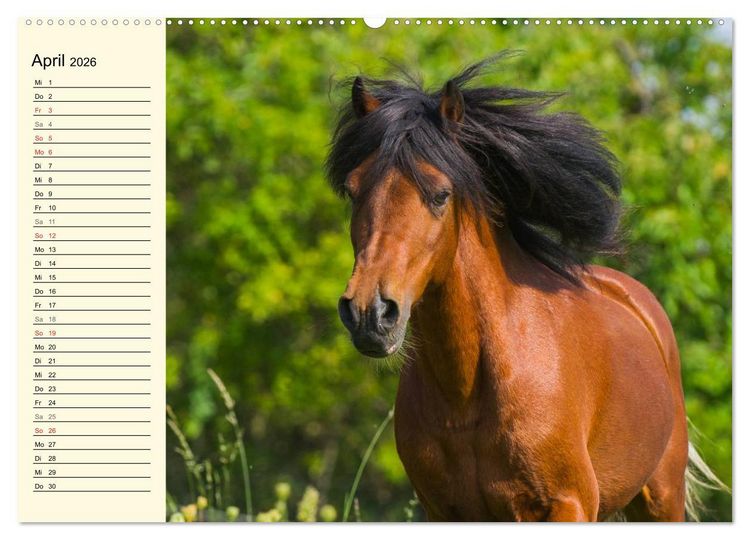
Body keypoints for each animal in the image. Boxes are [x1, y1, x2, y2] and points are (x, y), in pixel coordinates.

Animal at [326, 55, 725, 522]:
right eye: (353, 191)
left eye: (441, 194)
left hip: (661, 498)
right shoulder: (443, 511)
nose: (369, 313)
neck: (467, 395)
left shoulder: (566, 504)